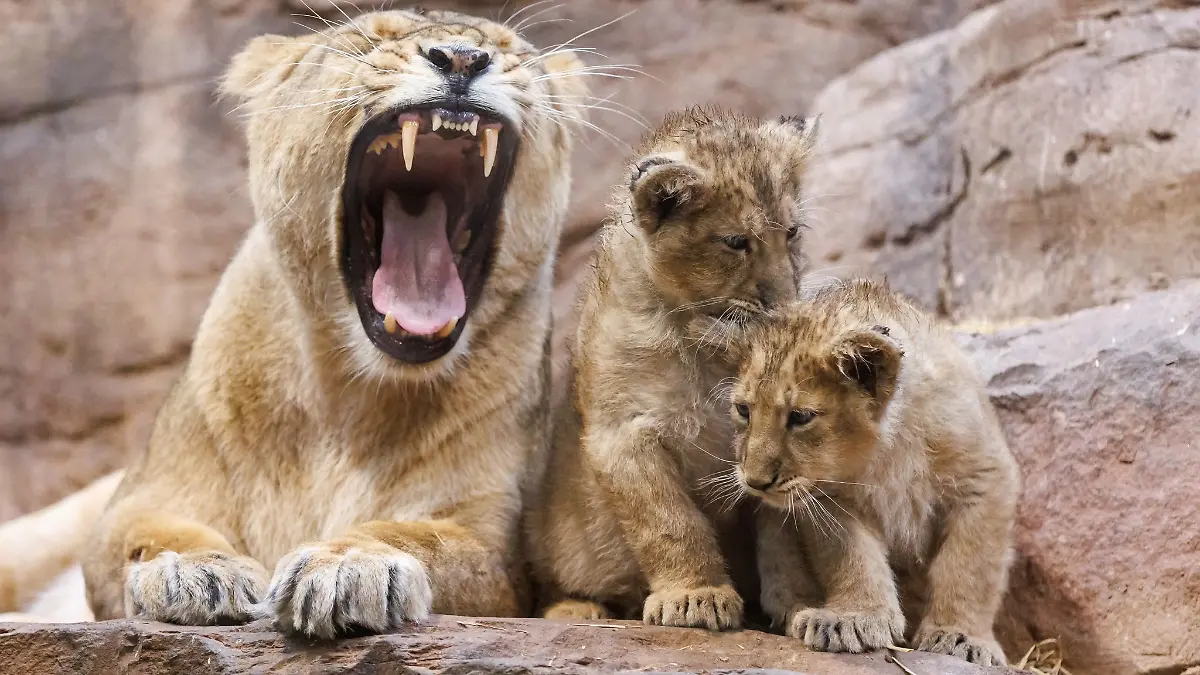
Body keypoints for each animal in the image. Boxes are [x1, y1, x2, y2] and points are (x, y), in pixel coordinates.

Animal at [10, 8, 597, 638]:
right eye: (371, 39)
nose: (463, 58)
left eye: (512, 51)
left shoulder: (495, 545)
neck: (350, 398)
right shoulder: (140, 499)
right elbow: (147, 535)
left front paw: (352, 565)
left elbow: (417, 538)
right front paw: (196, 572)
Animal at [525, 107, 820, 630]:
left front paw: (798, 604)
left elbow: (783, 536)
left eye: (791, 233)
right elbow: (669, 522)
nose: (785, 308)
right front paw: (696, 596)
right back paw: (577, 608)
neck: (708, 345)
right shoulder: (623, 433)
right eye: (736, 242)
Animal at [729, 279, 1019, 665]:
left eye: (801, 417)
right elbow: (853, 559)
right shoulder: (831, 497)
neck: (888, 448)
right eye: (743, 410)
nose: (755, 482)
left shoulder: (984, 478)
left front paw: (961, 637)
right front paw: (853, 619)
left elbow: (970, 565)